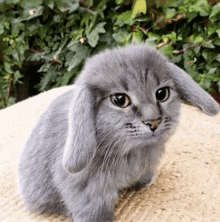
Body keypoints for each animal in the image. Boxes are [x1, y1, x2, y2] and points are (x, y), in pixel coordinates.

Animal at [18, 44, 219, 221]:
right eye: (120, 100)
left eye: (162, 94)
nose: (154, 122)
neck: (133, 151)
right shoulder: (87, 190)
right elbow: (93, 209)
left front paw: (145, 183)